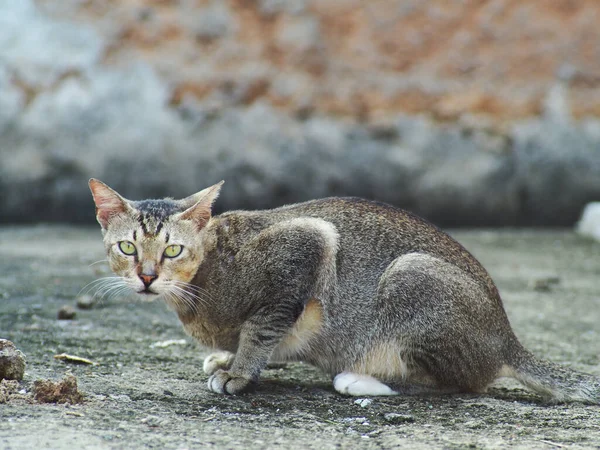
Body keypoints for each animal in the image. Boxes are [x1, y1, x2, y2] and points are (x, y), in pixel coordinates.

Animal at [89, 178, 600, 402]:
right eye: (128, 246)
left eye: (173, 250)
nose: (147, 276)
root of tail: (507, 337)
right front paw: (229, 359)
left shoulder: (308, 242)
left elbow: (262, 327)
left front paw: (240, 371)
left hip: (410, 275)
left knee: (459, 384)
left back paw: (360, 380)